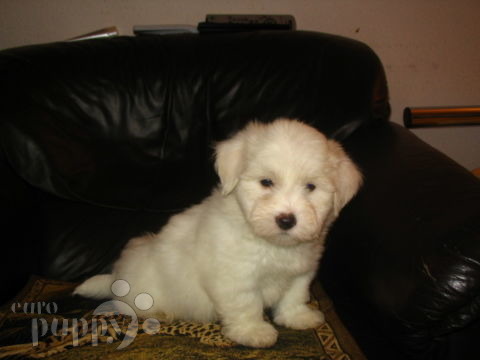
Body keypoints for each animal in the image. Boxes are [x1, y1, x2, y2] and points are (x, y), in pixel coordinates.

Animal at [74, 119, 360, 348]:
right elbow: (246, 305)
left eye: (311, 187)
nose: (286, 220)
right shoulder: (234, 277)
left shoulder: (302, 270)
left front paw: (297, 317)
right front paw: (254, 332)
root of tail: (117, 277)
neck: (271, 243)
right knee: (128, 305)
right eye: (266, 182)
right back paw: (159, 312)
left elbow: (295, 295)